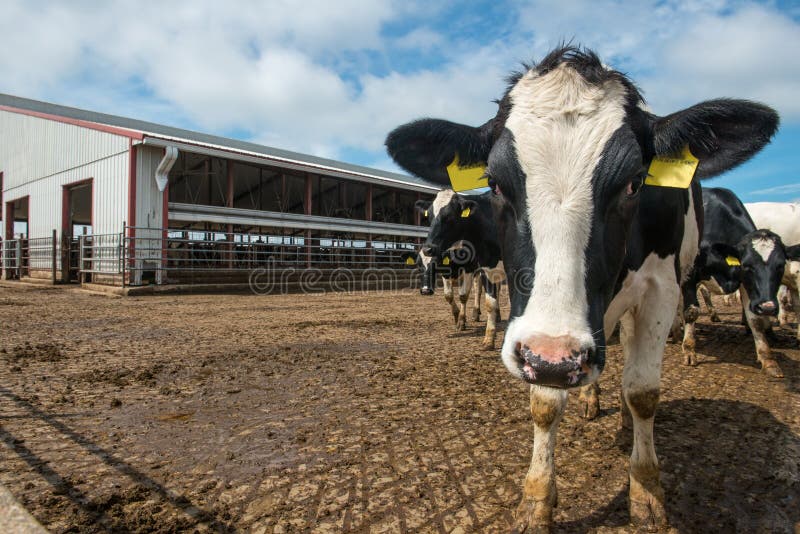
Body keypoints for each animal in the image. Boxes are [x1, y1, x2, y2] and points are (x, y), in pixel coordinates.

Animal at [680, 188, 788, 376]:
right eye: (747, 265)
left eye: (780, 266)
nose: (768, 307)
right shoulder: (689, 273)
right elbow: (691, 312)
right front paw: (689, 350)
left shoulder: (746, 284)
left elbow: (755, 321)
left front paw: (768, 360)